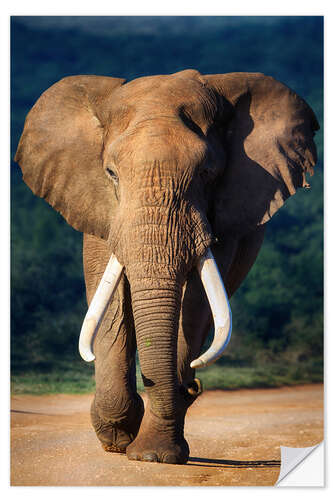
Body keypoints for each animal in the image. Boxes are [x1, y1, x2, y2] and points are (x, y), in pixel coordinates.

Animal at [14, 69, 318, 464]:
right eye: (111, 173)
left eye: (207, 172)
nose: (192, 386)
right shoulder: (97, 204)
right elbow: (110, 296)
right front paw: (119, 437)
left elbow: (197, 304)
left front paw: (153, 455)